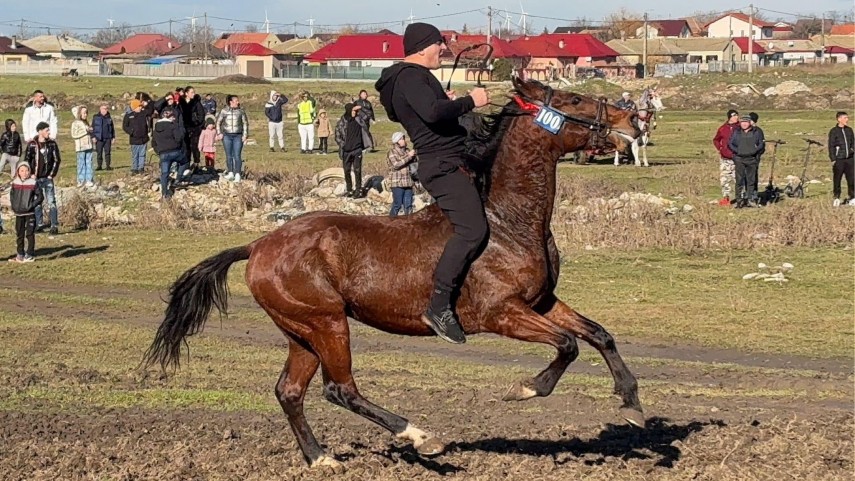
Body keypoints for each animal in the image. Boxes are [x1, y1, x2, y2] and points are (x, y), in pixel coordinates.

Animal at [144, 79, 644, 468]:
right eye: (575, 99)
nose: (634, 122)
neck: (508, 219)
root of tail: (259, 245)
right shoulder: (502, 313)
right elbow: (568, 344)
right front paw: (526, 388)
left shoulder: (540, 302)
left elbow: (599, 334)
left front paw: (632, 403)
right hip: (326, 323)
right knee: (340, 389)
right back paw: (419, 436)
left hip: (300, 330)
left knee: (290, 390)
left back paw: (320, 457)